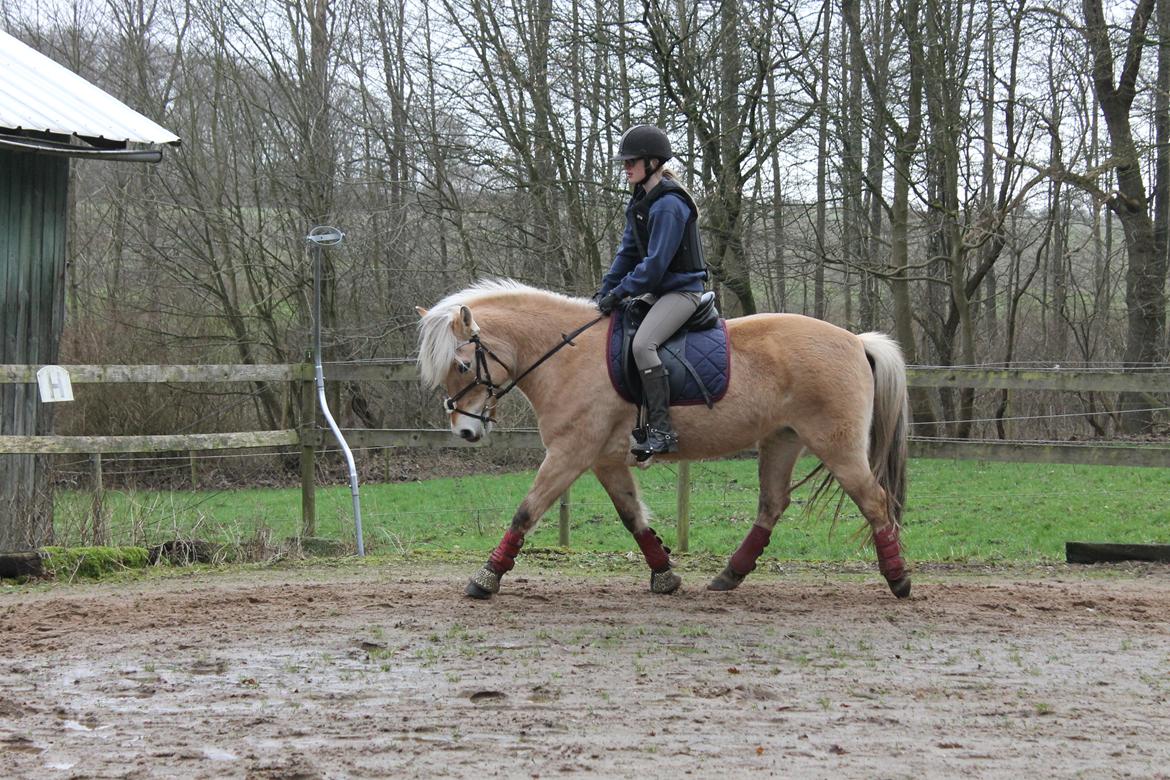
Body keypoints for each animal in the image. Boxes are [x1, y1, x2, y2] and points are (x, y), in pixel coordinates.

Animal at [414, 279, 912, 598]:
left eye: (462, 365)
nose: (465, 430)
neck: (569, 356)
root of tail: (855, 340)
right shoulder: (604, 459)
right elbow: (632, 516)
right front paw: (665, 576)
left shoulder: (571, 452)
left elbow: (526, 511)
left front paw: (486, 579)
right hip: (782, 440)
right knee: (772, 505)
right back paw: (729, 576)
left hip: (837, 446)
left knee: (875, 501)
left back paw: (899, 579)